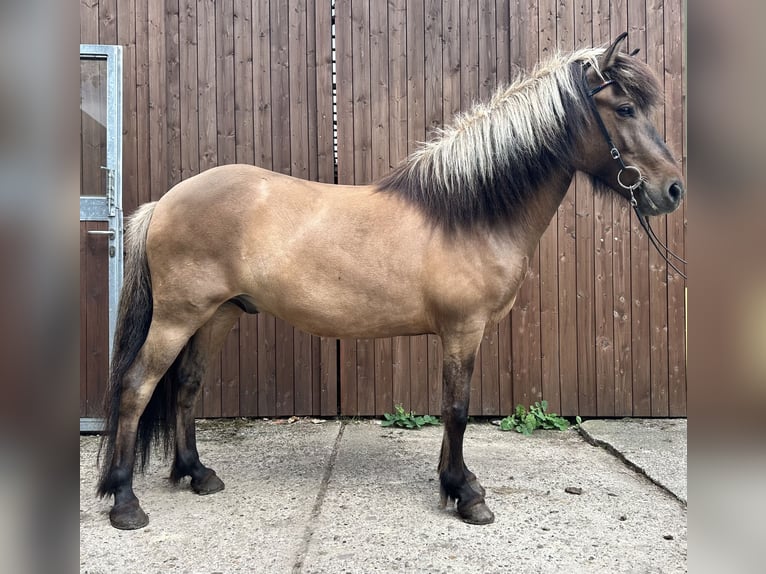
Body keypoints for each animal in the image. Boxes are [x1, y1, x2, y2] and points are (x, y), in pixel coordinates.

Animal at [94, 33, 684, 532]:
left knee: (187, 386)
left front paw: (455, 484)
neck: (468, 211)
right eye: (625, 109)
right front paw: (466, 495)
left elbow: (451, 410)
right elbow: (457, 410)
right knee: (137, 386)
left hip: (217, 314)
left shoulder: (459, 334)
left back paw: (197, 474)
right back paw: (124, 502)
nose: (672, 190)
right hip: (178, 316)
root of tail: (165, 202)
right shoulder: (463, 330)